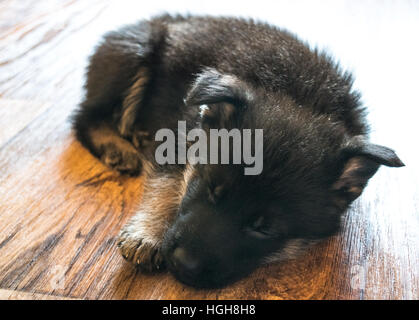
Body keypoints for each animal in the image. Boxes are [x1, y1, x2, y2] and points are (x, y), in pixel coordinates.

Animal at [74, 15, 406, 288]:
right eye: (210, 189)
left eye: (264, 229)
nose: (181, 265)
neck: (302, 98)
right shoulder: (178, 134)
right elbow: (167, 183)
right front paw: (149, 232)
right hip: (134, 51)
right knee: (85, 117)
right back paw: (116, 145)